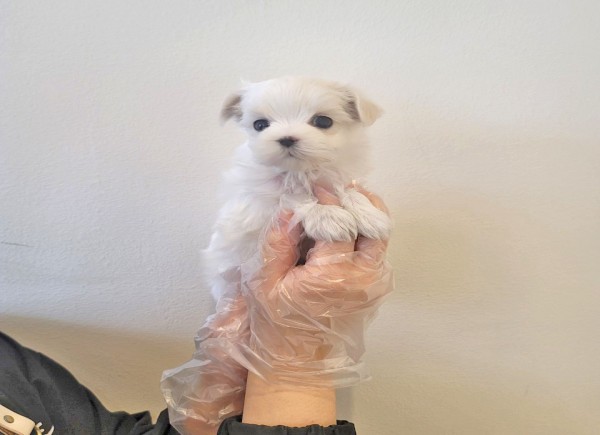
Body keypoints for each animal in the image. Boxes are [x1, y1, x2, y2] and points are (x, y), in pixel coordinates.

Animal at [205, 76, 391, 300]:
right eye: (260, 125)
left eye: (323, 121)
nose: (286, 138)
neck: (301, 171)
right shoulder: (258, 202)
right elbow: (294, 197)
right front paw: (328, 217)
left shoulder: (338, 176)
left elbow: (347, 189)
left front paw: (370, 215)